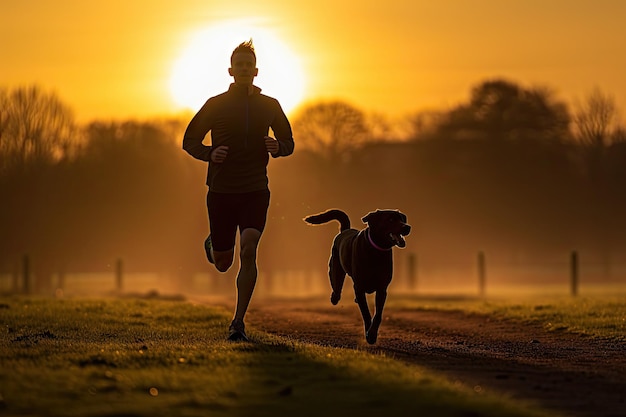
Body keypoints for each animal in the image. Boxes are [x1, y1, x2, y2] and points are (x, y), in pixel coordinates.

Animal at [304, 210, 410, 342]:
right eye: (390, 219)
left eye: (402, 219)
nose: (407, 227)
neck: (376, 251)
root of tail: (345, 231)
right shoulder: (359, 286)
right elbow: (365, 312)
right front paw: (369, 334)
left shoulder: (382, 288)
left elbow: (378, 314)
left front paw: (372, 333)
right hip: (335, 271)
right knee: (336, 290)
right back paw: (334, 298)